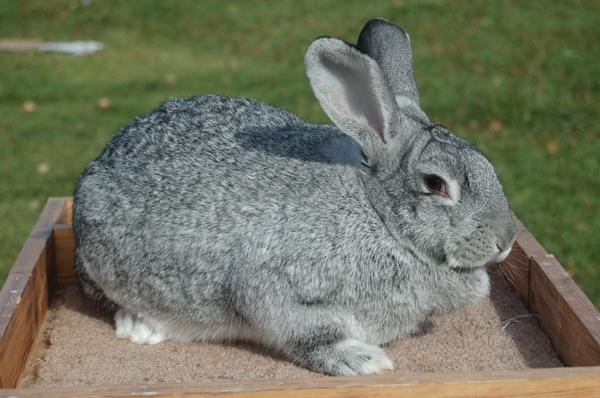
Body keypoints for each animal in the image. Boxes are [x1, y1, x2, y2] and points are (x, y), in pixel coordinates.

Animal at [74, 20, 516, 376]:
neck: (378, 216)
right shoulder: (280, 293)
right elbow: (309, 337)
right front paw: (364, 361)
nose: (506, 240)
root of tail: (97, 167)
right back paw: (142, 327)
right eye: (436, 184)